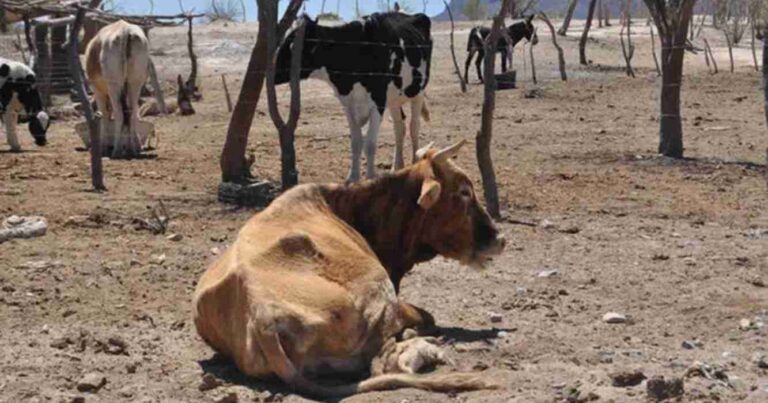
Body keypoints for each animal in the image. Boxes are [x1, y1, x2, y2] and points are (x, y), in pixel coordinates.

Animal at [85, 20, 149, 159]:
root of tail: (124, 30)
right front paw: (137, 146)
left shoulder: (98, 91)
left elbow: (105, 116)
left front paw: (103, 148)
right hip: (135, 83)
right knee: (131, 113)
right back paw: (131, 149)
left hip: (114, 86)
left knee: (120, 114)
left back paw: (117, 150)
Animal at [192, 141, 504, 398]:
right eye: (464, 192)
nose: (500, 239)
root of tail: (263, 316)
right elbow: (427, 316)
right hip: (377, 288)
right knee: (384, 362)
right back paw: (424, 348)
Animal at [274, 12, 432, 183]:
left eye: (293, 47)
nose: (272, 73)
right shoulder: (348, 105)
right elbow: (356, 142)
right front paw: (352, 177)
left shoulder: (378, 101)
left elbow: (370, 144)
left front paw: (370, 178)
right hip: (394, 99)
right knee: (399, 127)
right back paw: (396, 167)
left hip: (418, 92)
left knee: (414, 126)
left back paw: (414, 163)